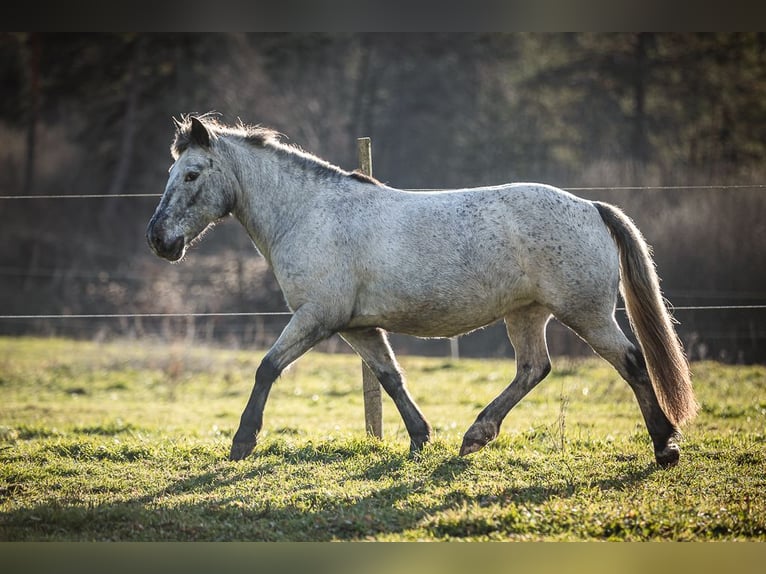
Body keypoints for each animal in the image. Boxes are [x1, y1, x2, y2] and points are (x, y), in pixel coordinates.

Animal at [147, 116, 700, 468]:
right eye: (169, 172)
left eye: (191, 174)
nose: (158, 239)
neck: (308, 213)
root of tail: (591, 208)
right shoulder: (357, 327)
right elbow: (391, 378)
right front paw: (420, 439)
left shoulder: (316, 316)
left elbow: (267, 367)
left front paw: (242, 442)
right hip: (527, 313)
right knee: (533, 369)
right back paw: (475, 436)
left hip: (586, 314)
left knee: (631, 363)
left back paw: (665, 448)